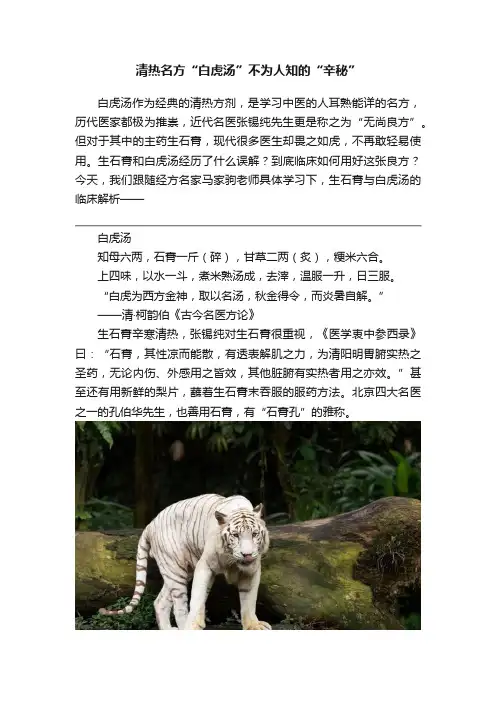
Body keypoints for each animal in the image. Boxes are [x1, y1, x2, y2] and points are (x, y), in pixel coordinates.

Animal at [99, 493, 271, 630]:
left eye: (255, 534)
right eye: (235, 535)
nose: (247, 554)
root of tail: (150, 524)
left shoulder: (252, 571)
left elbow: (249, 600)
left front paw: (253, 626)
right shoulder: (205, 565)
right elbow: (197, 598)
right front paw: (194, 623)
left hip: (179, 572)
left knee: (160, 602)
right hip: (175, 570)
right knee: (179, 607)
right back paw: (185, 627)